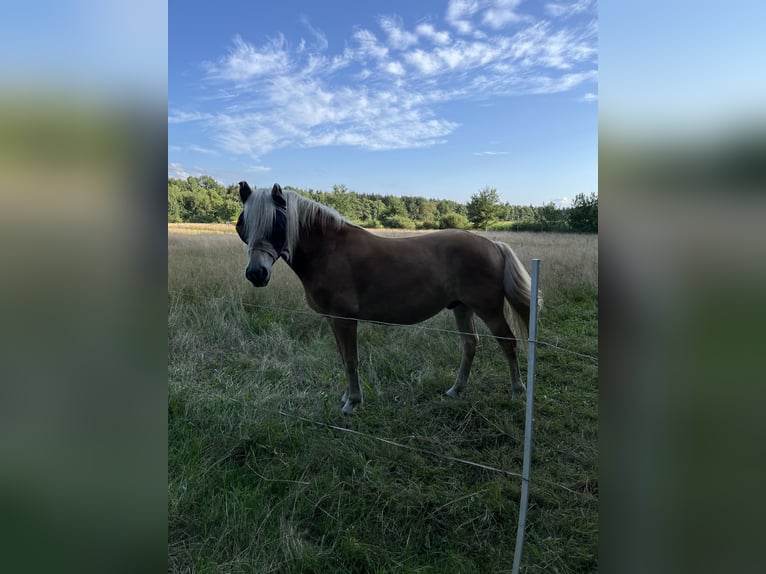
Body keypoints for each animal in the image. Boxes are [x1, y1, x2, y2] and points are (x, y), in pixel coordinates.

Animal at [234, 182, 540, 416]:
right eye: (243, 226)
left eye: (277, 224)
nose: (256, 274)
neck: (329, 250)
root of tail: (493, 245)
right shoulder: (333, 320)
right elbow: (343, 357)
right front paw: (346, 397)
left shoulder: (344, 319)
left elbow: (351, 360)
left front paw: (352, 403)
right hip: (462, 308)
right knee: (469, 344)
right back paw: (456, 389)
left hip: (489, 309)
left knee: (508, 343)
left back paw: (517, 390)